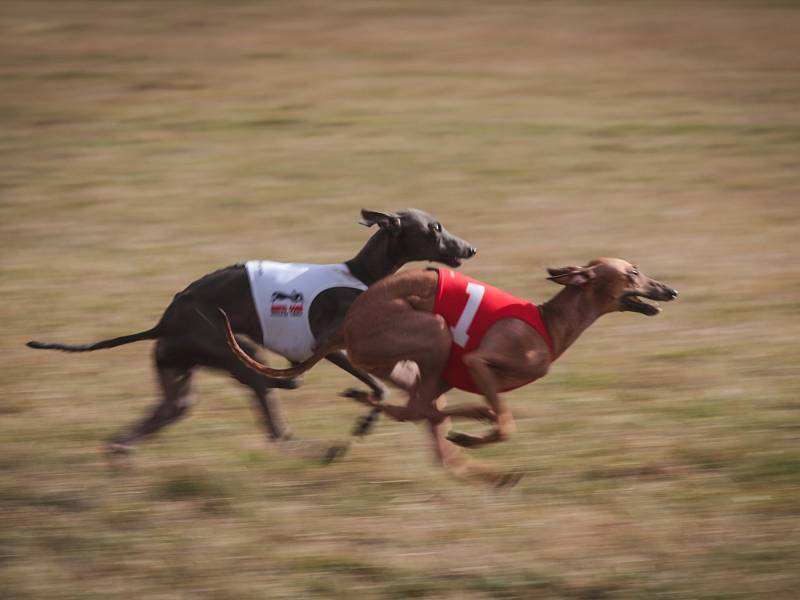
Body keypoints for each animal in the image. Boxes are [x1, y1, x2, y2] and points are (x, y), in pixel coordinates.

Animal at [222, 258, 680, 482]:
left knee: (419, 413)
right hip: (435, 334)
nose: (671, 290)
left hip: (417, 366)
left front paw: (472, 431)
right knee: (421, 411)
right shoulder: (479, 363)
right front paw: (477, 429)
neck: (548, 323)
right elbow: (505, 423)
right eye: (633, 272)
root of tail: (346, 327)